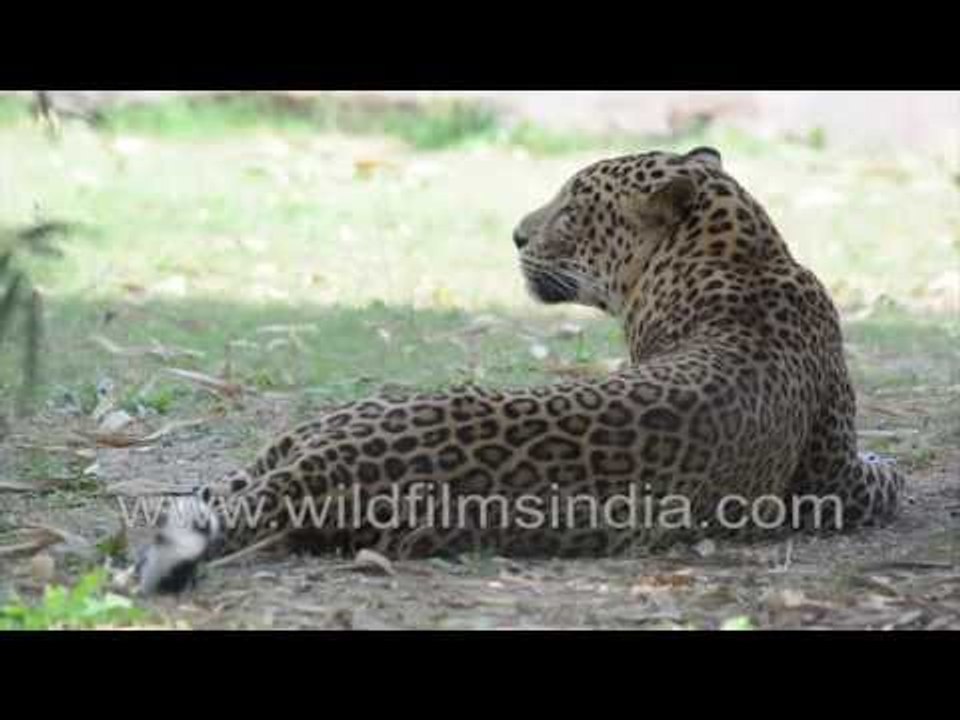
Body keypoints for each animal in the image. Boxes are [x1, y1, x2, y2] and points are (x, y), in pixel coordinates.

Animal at [136, 146, 906, 594]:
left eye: (572, 209)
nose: (515, 235)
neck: (741, 255)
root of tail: (319, 464)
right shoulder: (832, 481)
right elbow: (890, 478)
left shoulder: (834, 475)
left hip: (288, 445)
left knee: (213, 490)